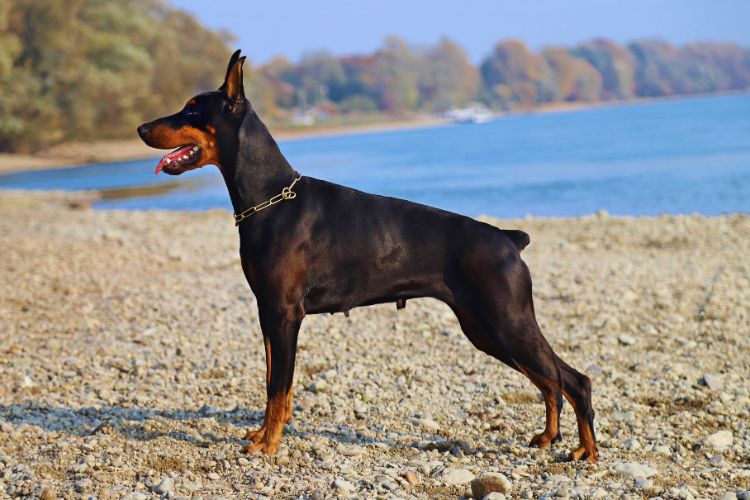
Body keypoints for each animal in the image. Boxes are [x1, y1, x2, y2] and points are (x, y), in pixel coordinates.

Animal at [137, 49, 600, 460]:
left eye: (193, 110)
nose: (141, 128)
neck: (270, 198)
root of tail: (508, 239)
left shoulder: (284, 313)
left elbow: (277, 388)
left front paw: (268, 445)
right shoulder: (268, 312)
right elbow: (273, 381)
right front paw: (262, 434)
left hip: (504, 321)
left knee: (574, 380)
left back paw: (586, 451)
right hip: (486, 328)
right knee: (550, 381)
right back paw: (548, 437)